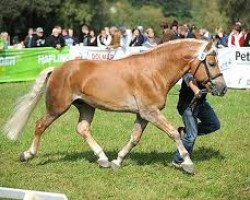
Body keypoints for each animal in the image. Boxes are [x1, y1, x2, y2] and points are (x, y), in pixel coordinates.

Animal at [3, 38, 227, 173]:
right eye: (212, 63)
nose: (223, 88)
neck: (154, 71)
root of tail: (57, 69)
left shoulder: (143, 114)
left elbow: (134, 138)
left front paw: (117, 161)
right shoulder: (150, 112)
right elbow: (173, 133)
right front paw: (188, 163)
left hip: (86, 106)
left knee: (82, 129)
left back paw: (102, 159)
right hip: (57, 107)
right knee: (40, 125)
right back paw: (27, 154)